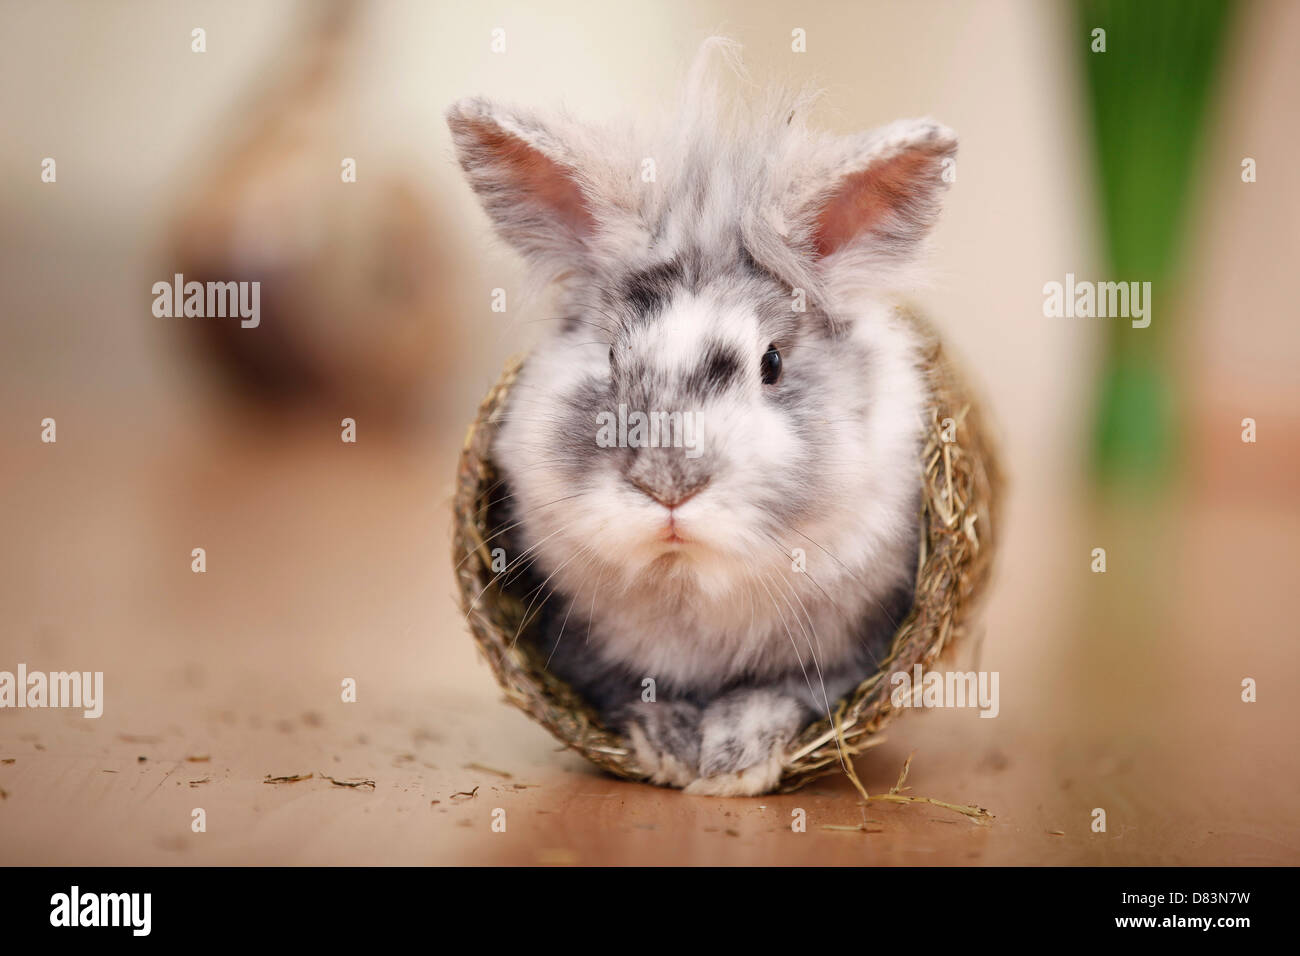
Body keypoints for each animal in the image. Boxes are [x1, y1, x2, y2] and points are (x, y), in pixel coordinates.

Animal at [447, 39, 955, 796]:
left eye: (771, 363)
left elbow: (779, 695)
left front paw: (731, 759)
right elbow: (634, 692)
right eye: (611, 355)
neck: (688, 580)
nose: (669, 486)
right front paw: (668, 746)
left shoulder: (849, 656)